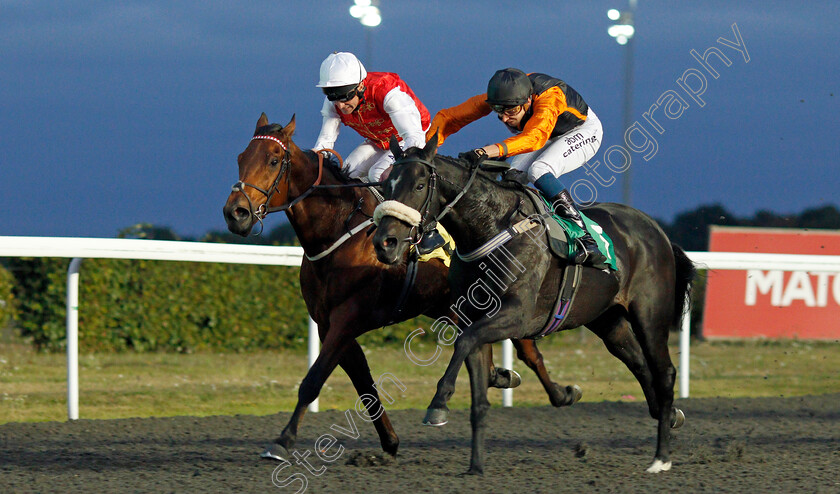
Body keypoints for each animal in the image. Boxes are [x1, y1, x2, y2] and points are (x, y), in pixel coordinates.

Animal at [221, 114, 584, 462]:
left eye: (273, 159)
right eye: (240, 158)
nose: (235, 213)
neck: (339, 231)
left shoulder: (347, 318)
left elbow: (314, 381)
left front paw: (281, 442)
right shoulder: (329, 324)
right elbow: (364, 383)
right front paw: (390, 442)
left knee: (529, 351)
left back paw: (560, 392)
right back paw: (506, 377)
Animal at [374, 135, 696, 474]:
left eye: (420, 185)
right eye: (386, 186)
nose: (385, 243)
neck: (491, 229)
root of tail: (658, 231)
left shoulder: (518, 316)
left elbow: (464, 342)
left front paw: (438, 405)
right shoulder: (473, 317)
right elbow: (477, 392)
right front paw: (475, 466)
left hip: (650, 315)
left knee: (664, 373)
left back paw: (661, 457)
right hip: (609, 321)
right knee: (640, 365)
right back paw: (669, 417)